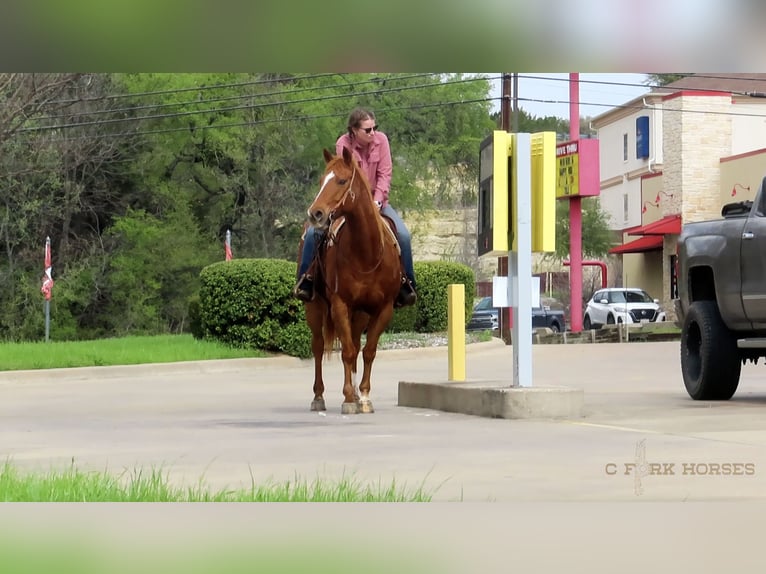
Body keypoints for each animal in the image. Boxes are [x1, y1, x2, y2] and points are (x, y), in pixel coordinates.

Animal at [298, 146, 402, 412]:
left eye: (342, 180)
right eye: (321, 180)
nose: (316, 213)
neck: (366, 253)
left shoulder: (383, 308)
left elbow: (368, 351)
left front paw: (363, 396)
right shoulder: (339, 305)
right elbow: (346, 351)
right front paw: (347, 398)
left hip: (360, 313)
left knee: (355, 344)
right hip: (314, 307)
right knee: (317, 347)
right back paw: (319, 397)